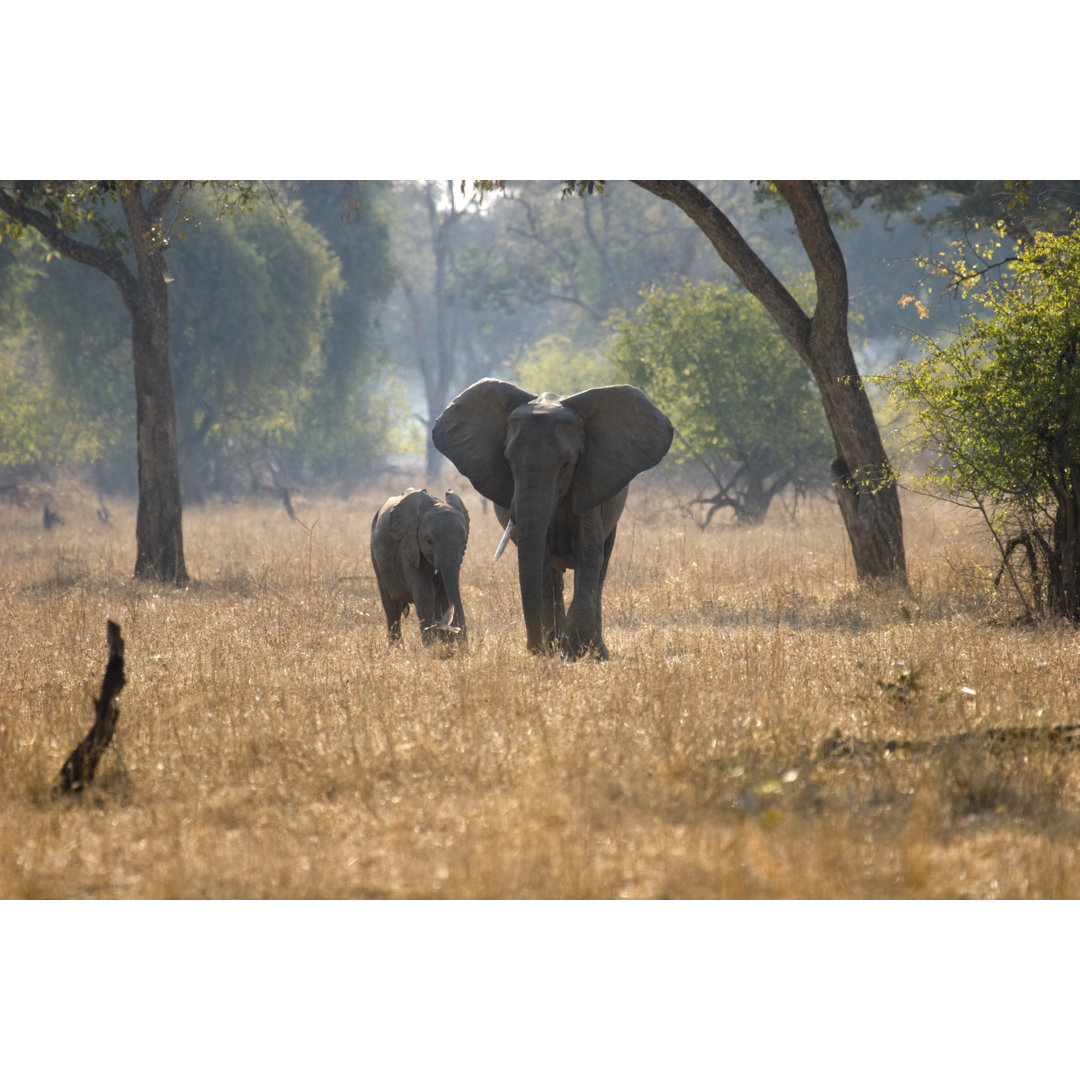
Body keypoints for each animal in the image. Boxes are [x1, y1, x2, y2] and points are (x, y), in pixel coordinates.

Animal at [371, 492, 468, 648]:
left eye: (464, 542)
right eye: (429, 541)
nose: (464, 648)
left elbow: (443, 594)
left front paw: (444, 647)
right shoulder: (408, 548)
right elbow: (424, 593)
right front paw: (431, 647)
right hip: (377, 558)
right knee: (392, 608)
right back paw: (396, 649)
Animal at [427, 380, 665, 656]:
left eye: (567, 463)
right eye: (508, 461)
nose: (533, 647)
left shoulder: (590, 483)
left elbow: (589, 554)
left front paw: (577, 650)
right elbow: (541, 559)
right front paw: (556, 650)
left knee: (601, 567)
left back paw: (596, 651)